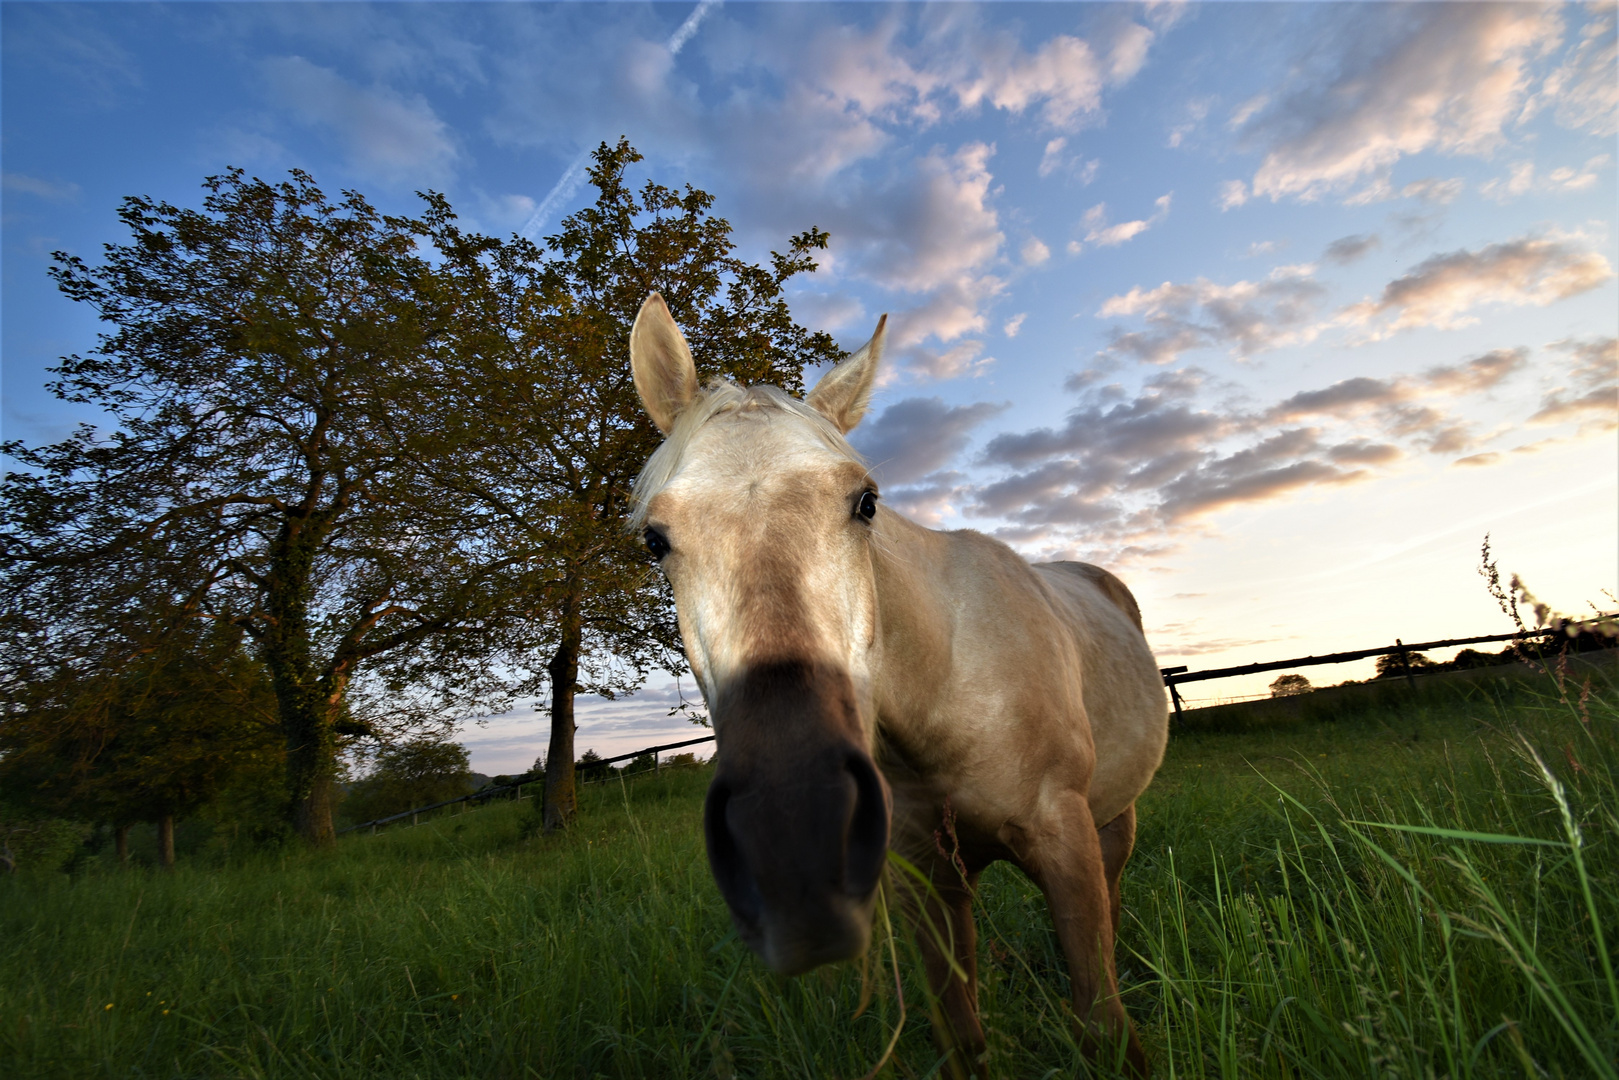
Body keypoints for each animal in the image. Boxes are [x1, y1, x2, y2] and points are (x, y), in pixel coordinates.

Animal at [624, 291, 1172, 1075]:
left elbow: (1103, 1024)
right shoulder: (922, 879)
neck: (946, 691)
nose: (792, 834)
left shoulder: (1062, 836)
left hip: (1111, 818)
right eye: (655, 539)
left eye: (865, 503)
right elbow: (962, 1038)